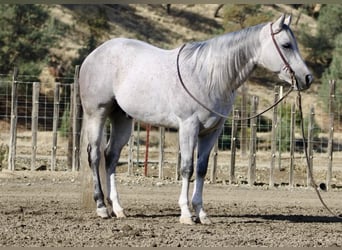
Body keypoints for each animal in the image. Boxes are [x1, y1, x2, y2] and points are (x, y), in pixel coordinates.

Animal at [79, 14, 312, 225]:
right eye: (286, 45)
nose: (307, 78)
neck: (208, 76)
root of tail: (94, 54)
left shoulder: (211, 132)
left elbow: (201, 169)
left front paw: (201, 213)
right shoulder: (188, 127)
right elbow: (187, 168)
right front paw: (185, 214)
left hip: (122, 119)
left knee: (111, 157)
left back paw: (118, 208)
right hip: (96, 114)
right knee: (95, 156)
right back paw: (101, 207)